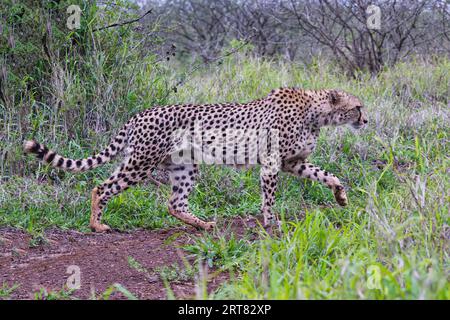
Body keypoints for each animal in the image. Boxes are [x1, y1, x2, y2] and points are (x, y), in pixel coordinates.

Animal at [24, 87, 368, 232]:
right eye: (358, 107)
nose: (366, 121)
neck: (317, 113)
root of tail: (139, 114)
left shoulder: (292, 162)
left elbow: (328, 175)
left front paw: (341, 197)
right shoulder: (272, 165)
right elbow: (269, 199)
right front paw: (272, 223)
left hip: (183, 166)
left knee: (174, 203)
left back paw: (202, 224)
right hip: (141, 163)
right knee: (102, 187)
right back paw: (97, 225)